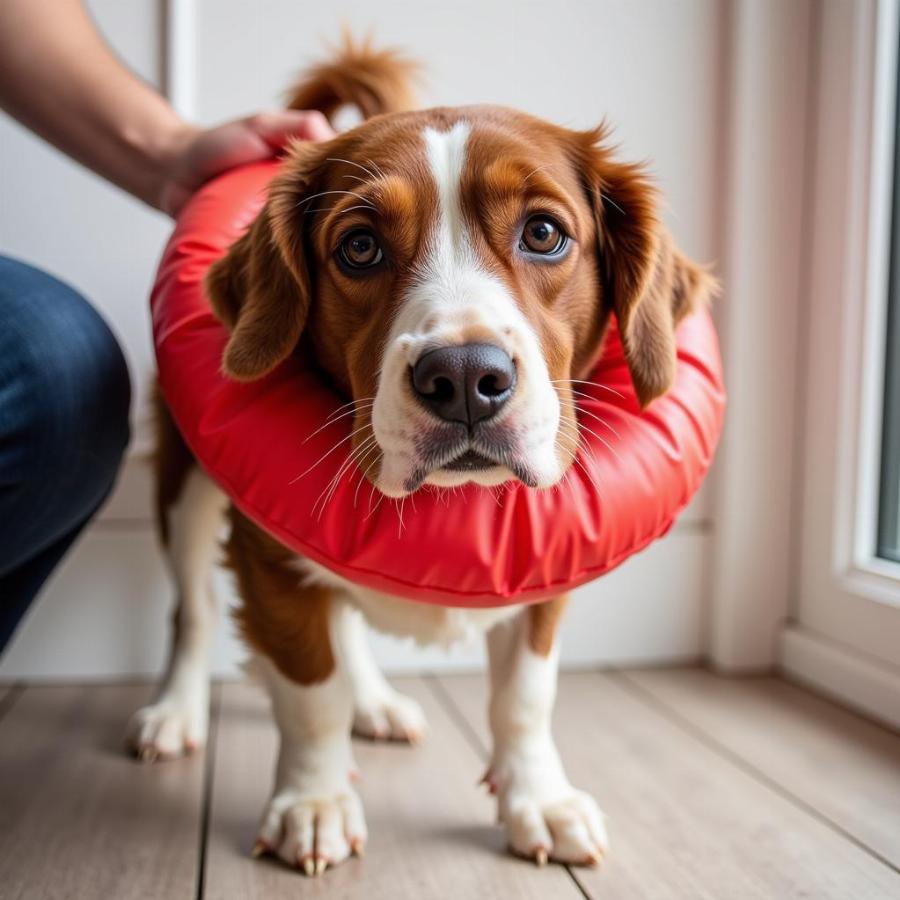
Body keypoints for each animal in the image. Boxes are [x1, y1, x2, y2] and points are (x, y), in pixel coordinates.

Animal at [128, 38, 716, 876]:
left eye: (544, 233)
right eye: (359, 247)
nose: (465, 378)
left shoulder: (551, 567)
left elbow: (524, 697)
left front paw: (538, 798)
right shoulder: (269, 562)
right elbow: (310, 689)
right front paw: (312, 800)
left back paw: (376, 701)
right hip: (182, 488)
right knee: (193, 611)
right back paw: (176, 711)